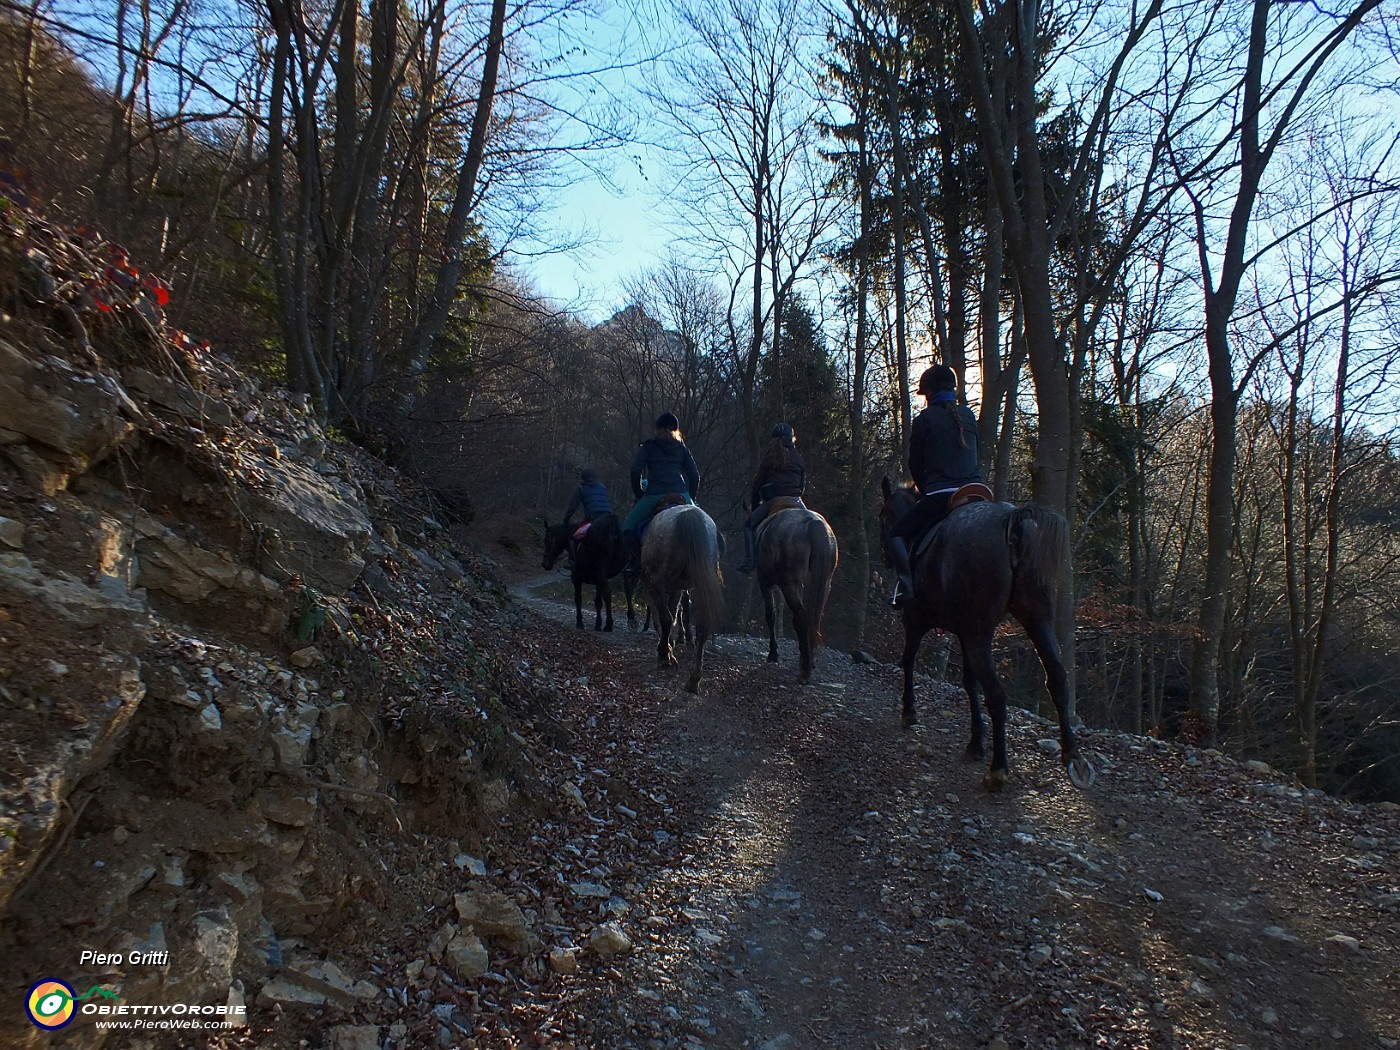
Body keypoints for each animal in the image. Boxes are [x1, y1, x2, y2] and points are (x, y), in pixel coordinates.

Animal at [756, 498, 840, 683]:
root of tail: (813, 524)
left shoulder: (764, 582)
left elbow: (770, 615)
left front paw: (773, 654)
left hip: (788, 584)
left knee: (801, 617)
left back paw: (805, 670)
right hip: (824, 583)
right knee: (812, 617)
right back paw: (808, 660)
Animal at [873, 481, 1092, 795]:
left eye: (882, 515)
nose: (883, 554)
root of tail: (1012, 521)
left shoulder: (916, 622)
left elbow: (908, 661)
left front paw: (909, 711)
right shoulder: (965, 633)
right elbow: (968, 682)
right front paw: (976, 742)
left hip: (980, 634)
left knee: (997, 694)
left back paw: (998, 770)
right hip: (1036, 620)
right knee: (1057, 678)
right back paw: (1073, 756)